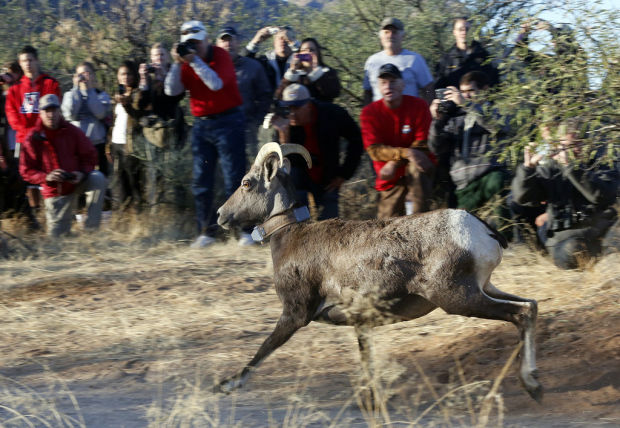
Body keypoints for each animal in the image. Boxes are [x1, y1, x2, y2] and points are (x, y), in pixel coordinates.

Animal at [214, 145, 544, 404]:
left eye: (246, 183)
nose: (220, 215)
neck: (292, 237)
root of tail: (482, 231)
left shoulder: (295, 314)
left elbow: (265, 348)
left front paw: (227, 385)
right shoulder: (361, 324)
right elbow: (366, 361)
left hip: (458, 298)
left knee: (520, 313)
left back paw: (532, 385)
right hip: (485, 288)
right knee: (530, 305)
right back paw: (534, 383)